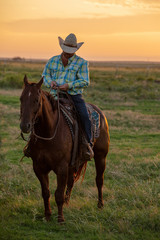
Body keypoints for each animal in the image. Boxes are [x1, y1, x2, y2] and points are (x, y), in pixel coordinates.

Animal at [19, 75, 110, 223]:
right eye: (21, 98)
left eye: (36, 100)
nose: (25, 126)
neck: (48, 133)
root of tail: (100, 113)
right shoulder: (38, 167)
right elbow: (46, 192)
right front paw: (48, 215)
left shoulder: (61, 167)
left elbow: (58, 194)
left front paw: (60, 218)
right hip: (73, 163)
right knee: (71, 181)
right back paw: (67, 203)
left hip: (101, 156)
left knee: (99, 180)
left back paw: (100, 204)